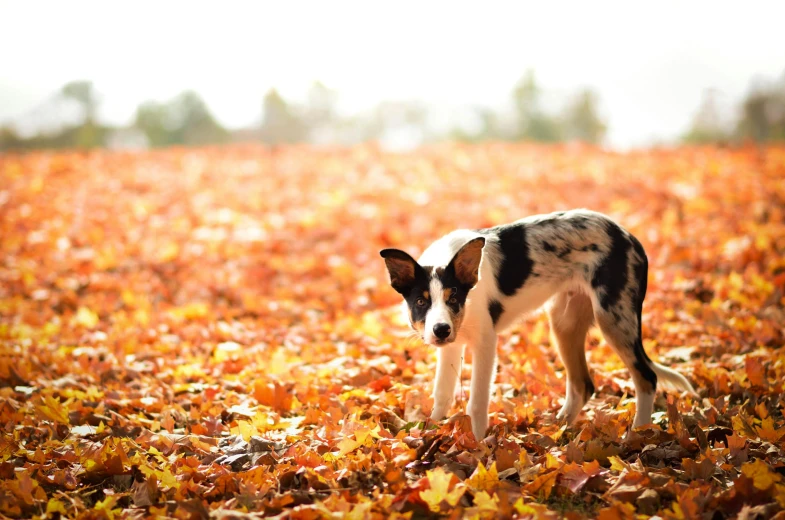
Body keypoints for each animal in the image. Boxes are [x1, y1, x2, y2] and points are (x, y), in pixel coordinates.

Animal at [380, 207, 692, 438]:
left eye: (453, 296)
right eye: (421, 302)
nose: (441, 329)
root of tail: (628, 236)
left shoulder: (485, 343)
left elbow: (476, 402)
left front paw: (477, 445)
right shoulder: (451, 346)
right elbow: (442, 394)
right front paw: (428, 434)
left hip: (615, 318)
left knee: (646, 377)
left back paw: (637, 435)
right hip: (564, 324)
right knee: (583, 385)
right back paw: (558, 429)